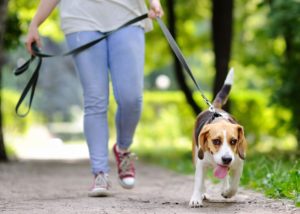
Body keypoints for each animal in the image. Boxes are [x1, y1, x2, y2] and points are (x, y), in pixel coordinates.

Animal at [189, 68, 247, 207]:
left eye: (234, 141)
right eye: (216, 141)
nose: (226, 159)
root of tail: (215, 107)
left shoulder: (238, 163)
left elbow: (234, 185)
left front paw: (228, 192)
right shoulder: (201, 164)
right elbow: (199, 182)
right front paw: (196, 198)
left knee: (225, 177)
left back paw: (224, 188)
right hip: (196, 156)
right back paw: (203, 193)